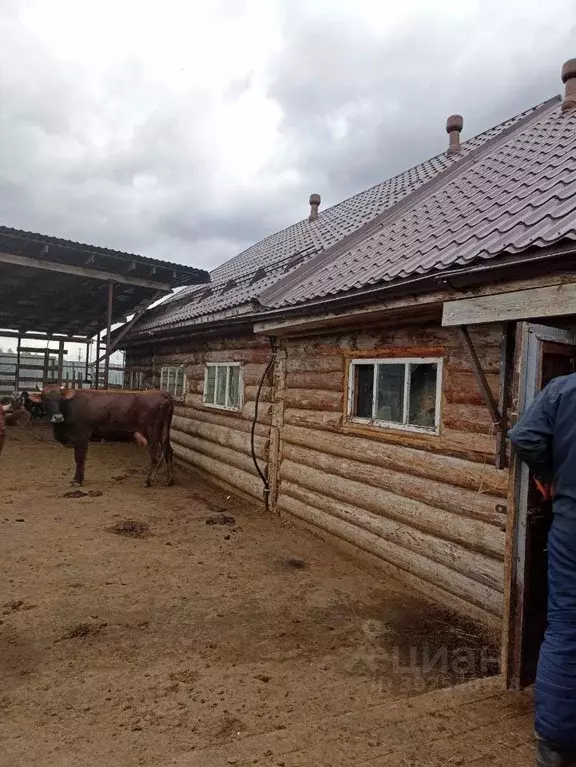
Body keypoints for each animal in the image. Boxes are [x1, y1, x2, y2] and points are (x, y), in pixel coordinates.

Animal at [29, 388, 173, 488]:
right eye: (45, 400)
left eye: (61, 400)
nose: (58, 417)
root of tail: (161, 392)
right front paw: (78, 479)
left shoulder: (81, 437)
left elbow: (79, 459)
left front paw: (77, 481)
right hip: (164, 432)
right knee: (168, 451)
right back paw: (169, 480)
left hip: (152, 433)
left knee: (155, 456)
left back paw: (147, 481)